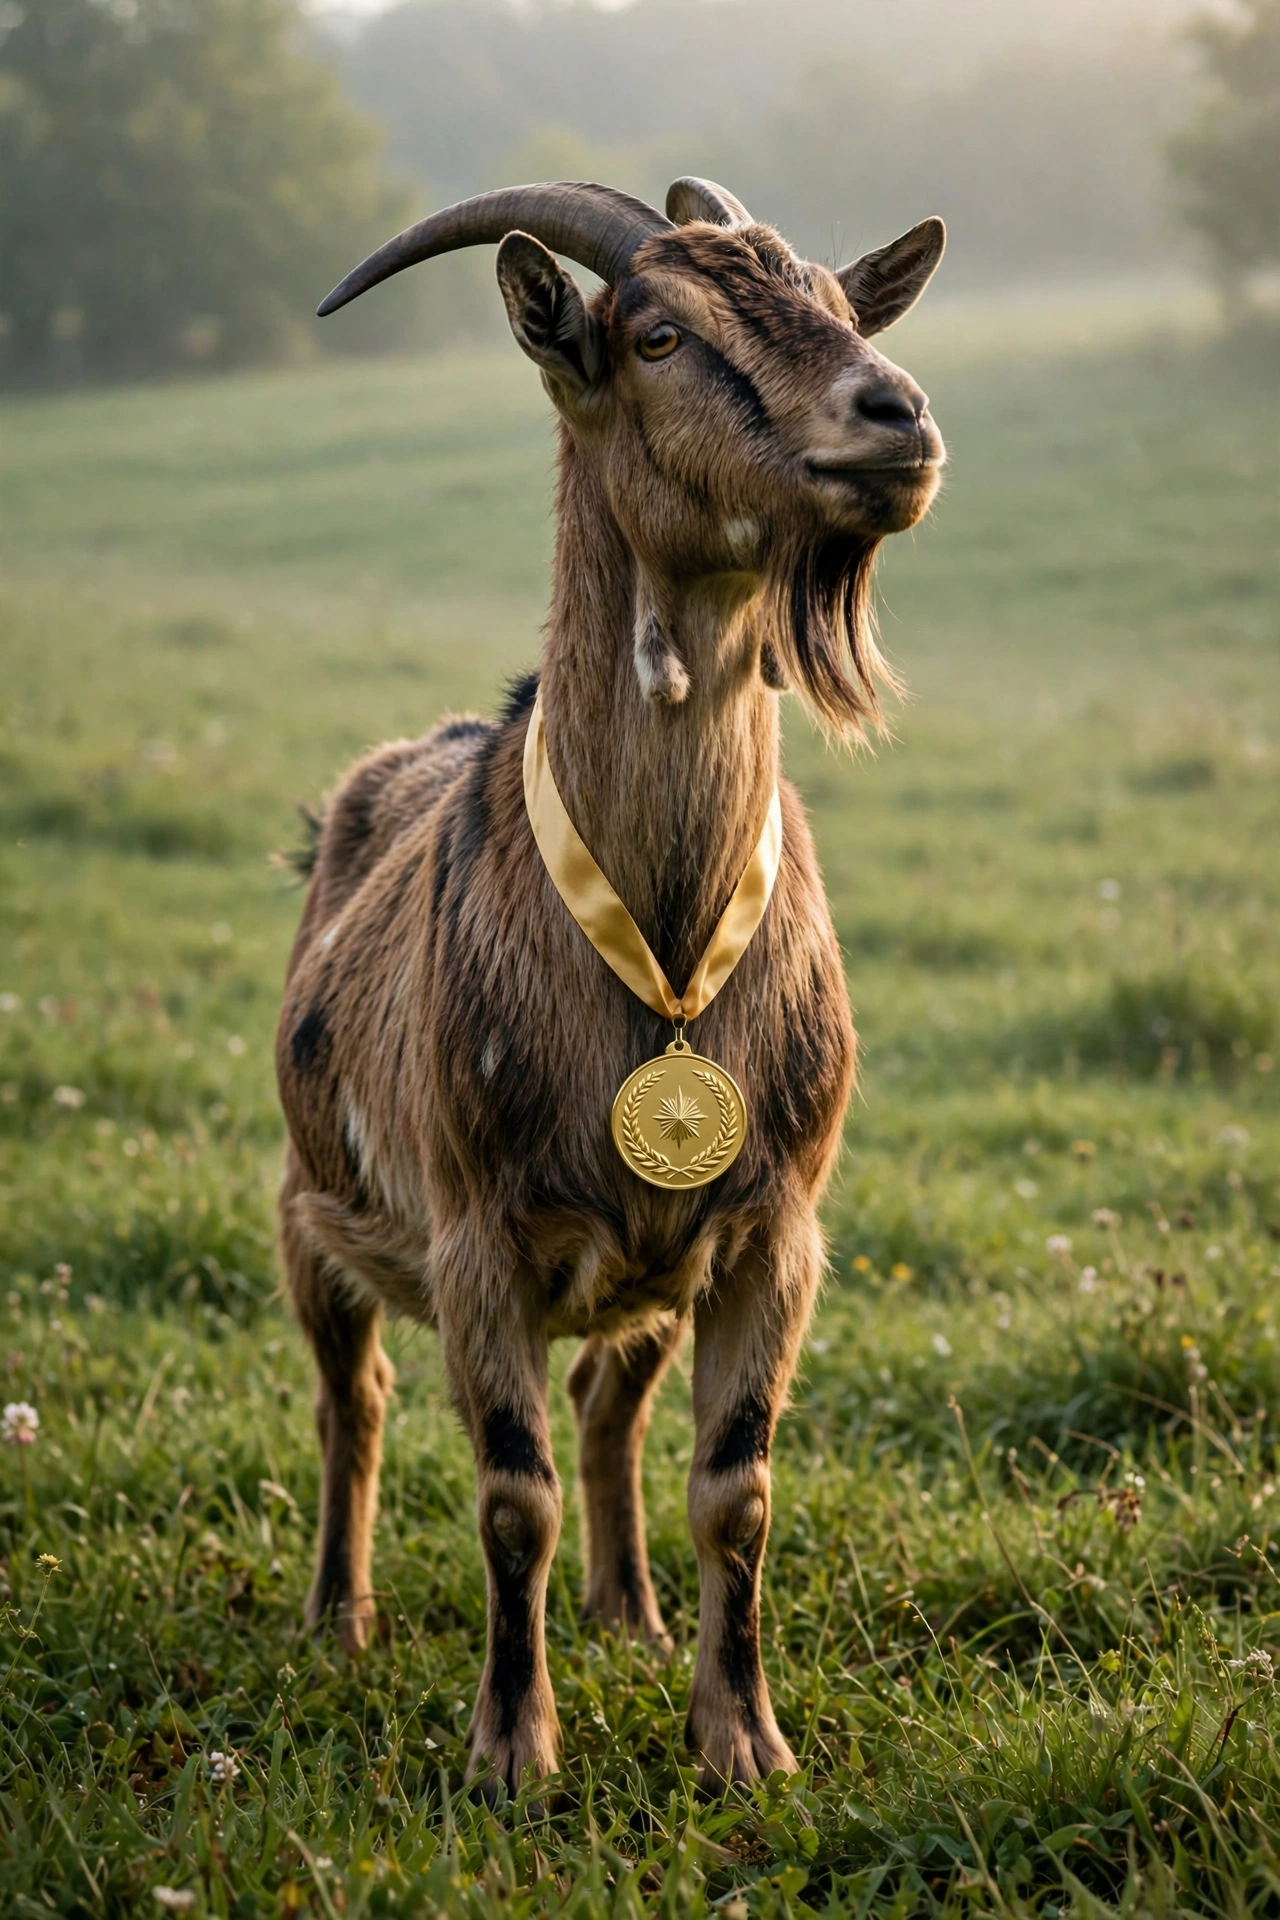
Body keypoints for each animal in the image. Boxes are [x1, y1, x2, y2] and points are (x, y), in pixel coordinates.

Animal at [277, 177, 946, 1793]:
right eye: (655, 334)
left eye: (837, 298)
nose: (895, 413)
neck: (665, 945)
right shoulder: (479, 1243)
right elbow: (507, 1496)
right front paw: (511, 1752)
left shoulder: (771, 1237)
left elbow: (737, 1490)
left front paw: (742, 1740)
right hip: (303, 1205)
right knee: (351, 1401)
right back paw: (338, 1616)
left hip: (651, 1273)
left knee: (606, 1403)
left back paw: (628, 1614)